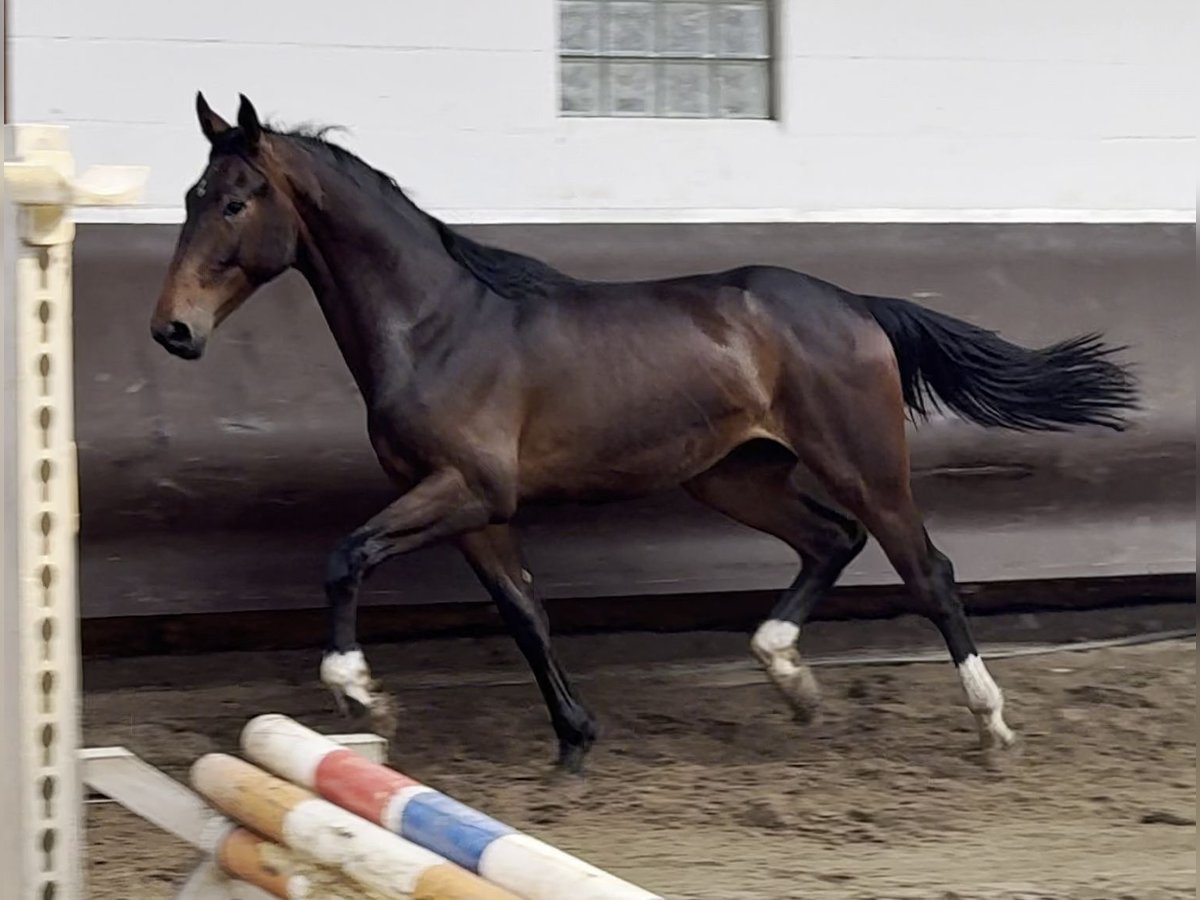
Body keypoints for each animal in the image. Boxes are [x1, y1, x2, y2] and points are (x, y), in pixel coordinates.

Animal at [150, 93, 1132, 777]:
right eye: (192, 195)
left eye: (235, 203)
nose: (173, 331)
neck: (434, 326)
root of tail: (856, 304)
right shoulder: (476, 508)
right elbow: (524, 611)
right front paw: (574, 741)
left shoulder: (466, 487)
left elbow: (345, 556)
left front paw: (361, 696)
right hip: (736, 474)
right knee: (831, 541)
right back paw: (790, 679)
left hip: (862, 460)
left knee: (926, 568)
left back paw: (990, 722)